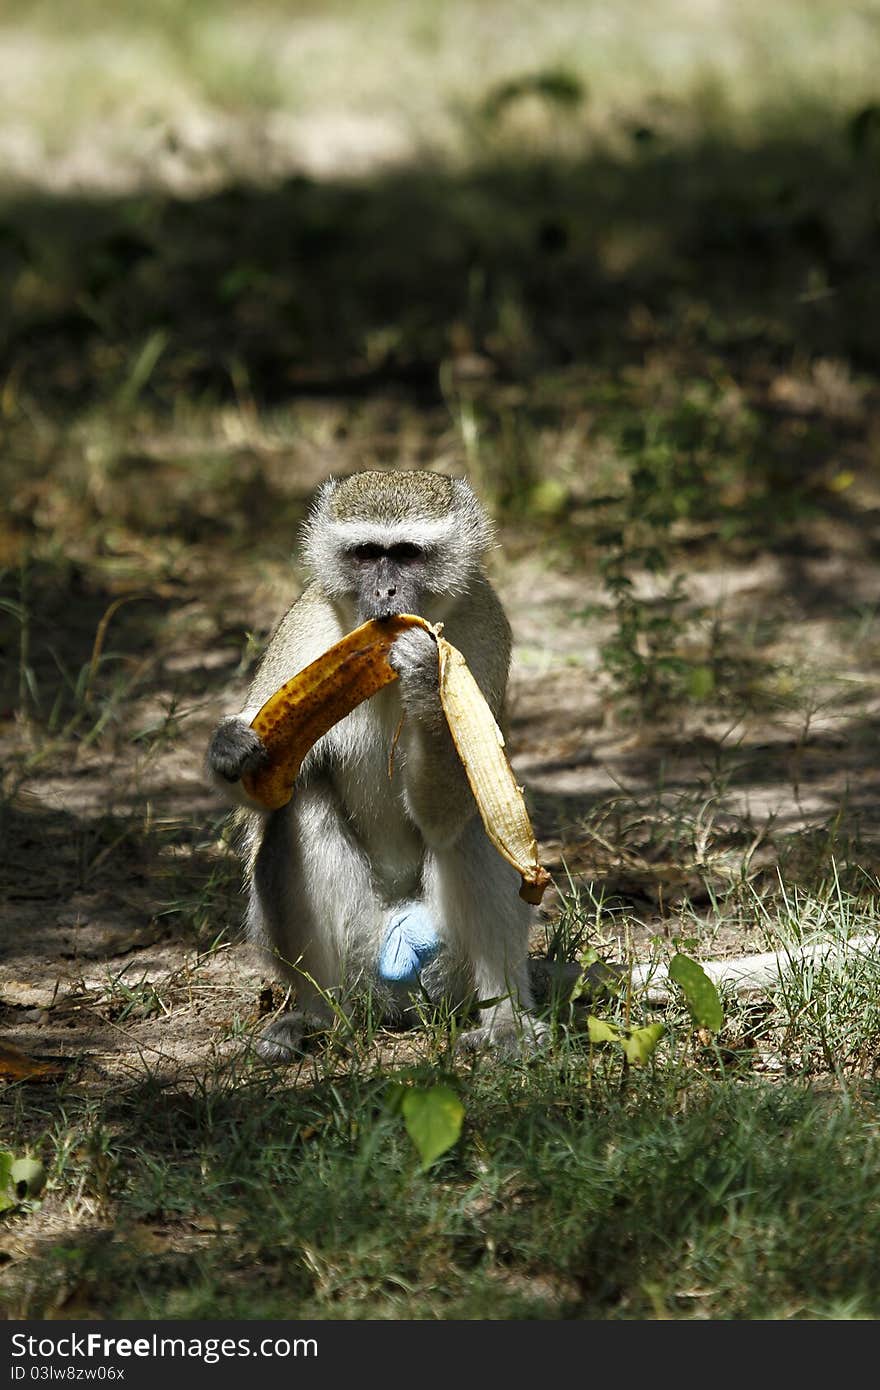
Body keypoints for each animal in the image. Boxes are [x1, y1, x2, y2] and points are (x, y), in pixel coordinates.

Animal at [209, 472, 539, 1056]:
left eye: (406, 554)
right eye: (366, 554)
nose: (386, 592)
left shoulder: (483, 627)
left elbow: (449, 814)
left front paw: (427, 680)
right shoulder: (305, 631)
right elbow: (265, 797)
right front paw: (231, 746)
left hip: (447, 963)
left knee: (481, 821)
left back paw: (505, 1019)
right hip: (360, 952)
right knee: (299, 809)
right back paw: (318, 1014)